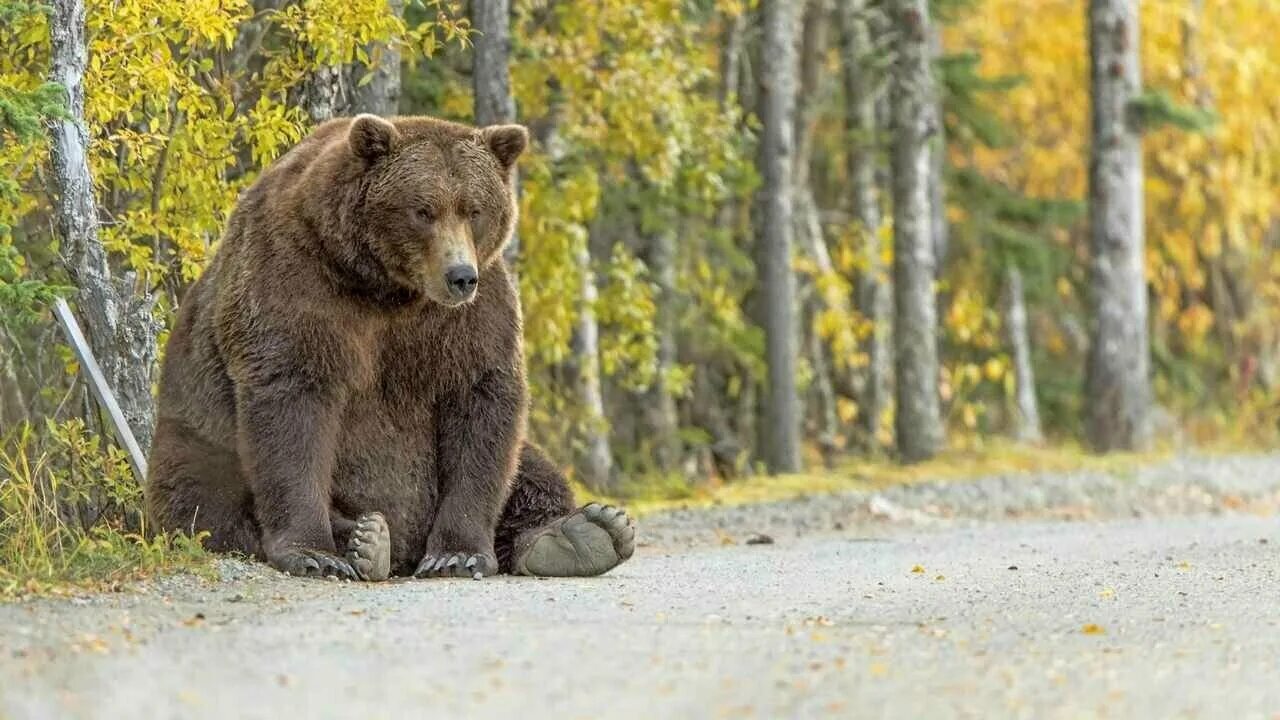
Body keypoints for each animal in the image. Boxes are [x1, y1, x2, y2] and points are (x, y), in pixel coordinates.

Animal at [145, 114, 634, 579]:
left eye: (474, 209)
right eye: (423, 209)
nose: (460, 276)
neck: (387, 287)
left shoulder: (470, 315)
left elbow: (482, 403)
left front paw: (457, 554)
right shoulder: (294, 282)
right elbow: (292, 403)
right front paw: (313, 553)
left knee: (531, 466)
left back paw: (582, 533)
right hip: (197, 437)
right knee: (207, 497)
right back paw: (366, 538)